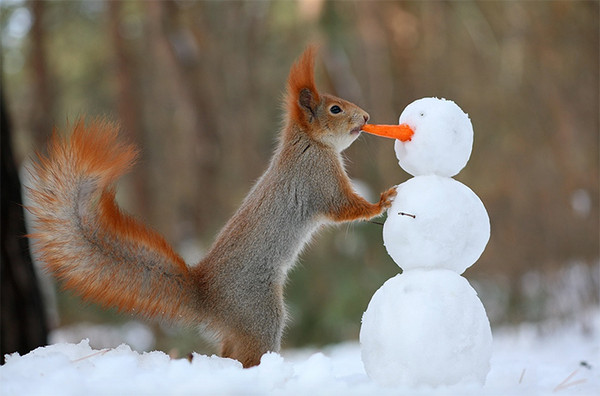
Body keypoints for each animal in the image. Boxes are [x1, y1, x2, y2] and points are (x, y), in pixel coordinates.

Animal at [25, 47, 396, 368]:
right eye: (335, 109)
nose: (366, 117)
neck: (308, 142)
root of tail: (206, 296)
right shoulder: (318, 180)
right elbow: (343, 209)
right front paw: (382, 201)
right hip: (259, 314)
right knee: (246, 355)